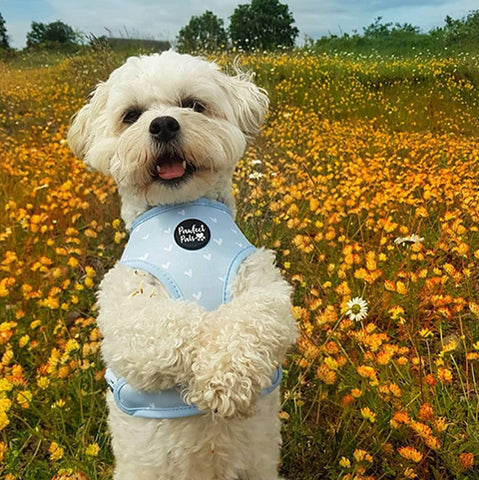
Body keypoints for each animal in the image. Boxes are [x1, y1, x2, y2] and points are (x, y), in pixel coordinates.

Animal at [68, 50, 298, 478]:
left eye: (193, 104)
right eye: (131, 115)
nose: (162, 124)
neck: (185, 219)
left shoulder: (263, 285)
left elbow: (249, 320)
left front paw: (225, 379)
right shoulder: (127, 309)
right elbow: (179, 324)